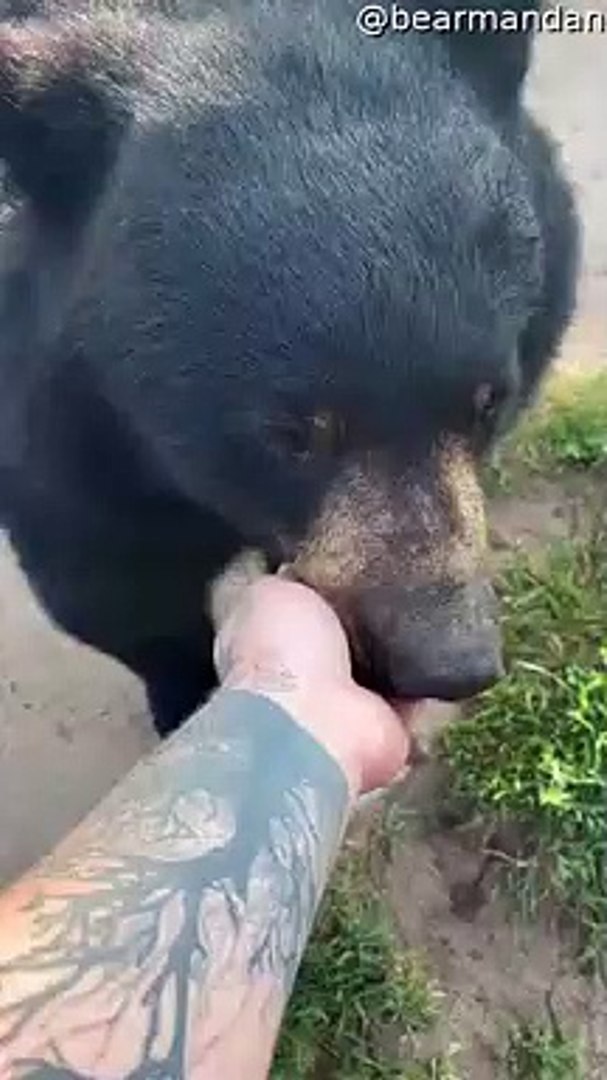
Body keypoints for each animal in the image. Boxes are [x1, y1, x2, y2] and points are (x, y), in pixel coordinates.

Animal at [0, 0, 578, 737]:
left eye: (488, 401)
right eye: (291, 433)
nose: (449, 660)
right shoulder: (60, 416)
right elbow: (112, 588)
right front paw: (185, 700)